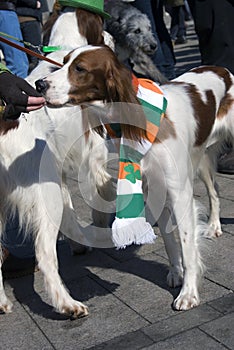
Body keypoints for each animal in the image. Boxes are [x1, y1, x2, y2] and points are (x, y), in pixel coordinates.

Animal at [36, 45, 234, 310]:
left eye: (80, 68)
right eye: (64, 62)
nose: (39, 84)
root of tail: (222, 69)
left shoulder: (179, 192)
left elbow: (187, 246)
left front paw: (189, 293)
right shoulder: (155, 190)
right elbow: (170, 242)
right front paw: (176, 273)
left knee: (213, 192)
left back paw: (213, 227)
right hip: (200, 159)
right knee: (214, 191)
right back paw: (213, 225)